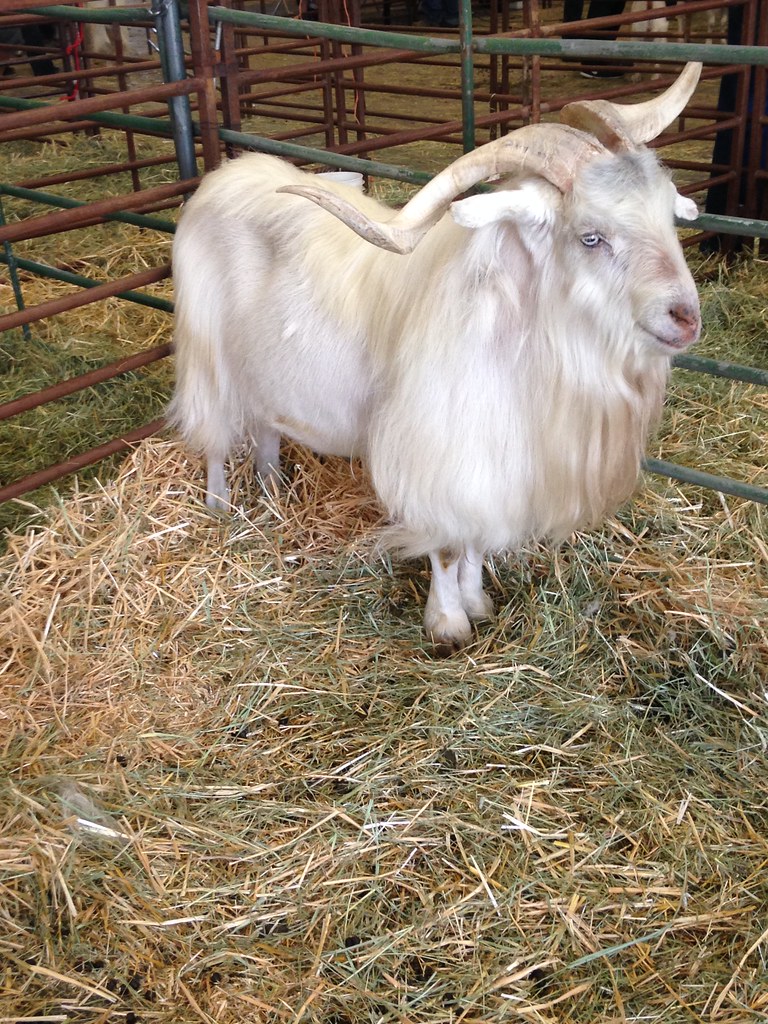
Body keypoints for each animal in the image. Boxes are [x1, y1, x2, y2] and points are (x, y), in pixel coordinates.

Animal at [169, 62, 702, 654]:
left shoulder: (485, 463)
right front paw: (448, 625)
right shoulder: (438, 454)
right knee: (215, 436)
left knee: (265, 425)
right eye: (591, 237)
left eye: (668, 216)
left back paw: (272, 493)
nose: (685, 317)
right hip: (207, 356)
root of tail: (225, 176)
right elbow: (447, 545)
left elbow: (474, 542)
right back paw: (220, 508)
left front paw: (477, 602)